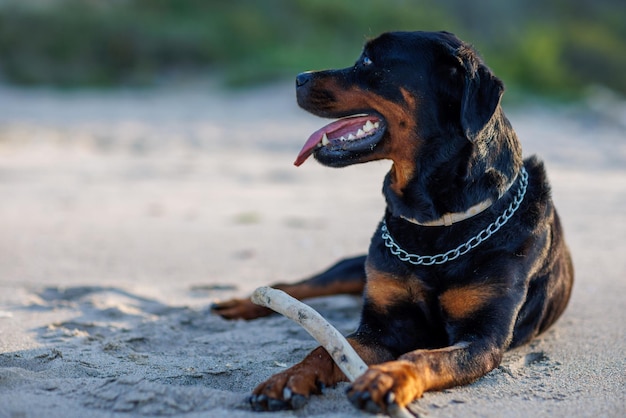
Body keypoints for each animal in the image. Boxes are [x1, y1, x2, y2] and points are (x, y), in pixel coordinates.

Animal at [211, 31, 572, 414]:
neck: (436, 224)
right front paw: (287, 379)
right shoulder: (381, 328)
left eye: (369, 61)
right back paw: (241, 304)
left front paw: (385, 379)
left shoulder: (482, 338)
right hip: (353, 267)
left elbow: (424, 357)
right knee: (301, 285)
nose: (299, 77)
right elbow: (325, 349)